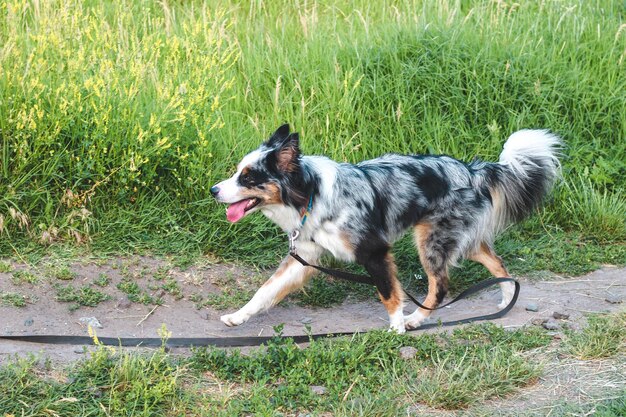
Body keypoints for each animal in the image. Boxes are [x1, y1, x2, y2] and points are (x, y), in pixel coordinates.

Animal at [211, 123, 560, 332]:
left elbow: (390, 294)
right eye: (238, 173)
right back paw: (506, 297)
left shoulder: (374, 251)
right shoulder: (305, 257)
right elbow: (266, 289)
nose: (214, 190)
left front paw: (395, 330)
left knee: (440, 285)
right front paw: (239, 315)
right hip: (455, 237)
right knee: (495, 260)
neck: (311, 194)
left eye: (248, 177)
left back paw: (415, 319)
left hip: (431, 240)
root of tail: (472, 171)